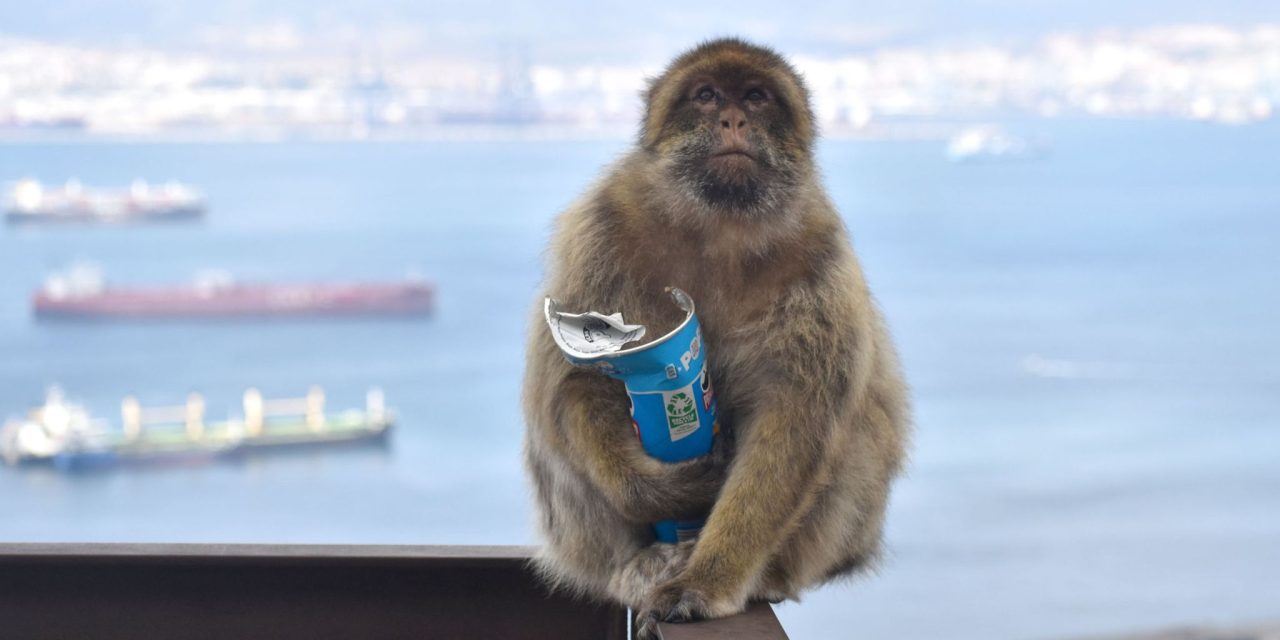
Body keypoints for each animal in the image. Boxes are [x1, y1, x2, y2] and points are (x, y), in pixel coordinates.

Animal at [522, 38, 910, 637]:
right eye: (706, 96)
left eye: (755, 96)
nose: (732, 119)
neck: (719, 227)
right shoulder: (601, 227)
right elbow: (575, 381)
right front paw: (669, 490)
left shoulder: (820, 257)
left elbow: (794, 419)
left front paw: (708, 582)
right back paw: (641, 563)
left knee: (862, 426)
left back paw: (765, 574)